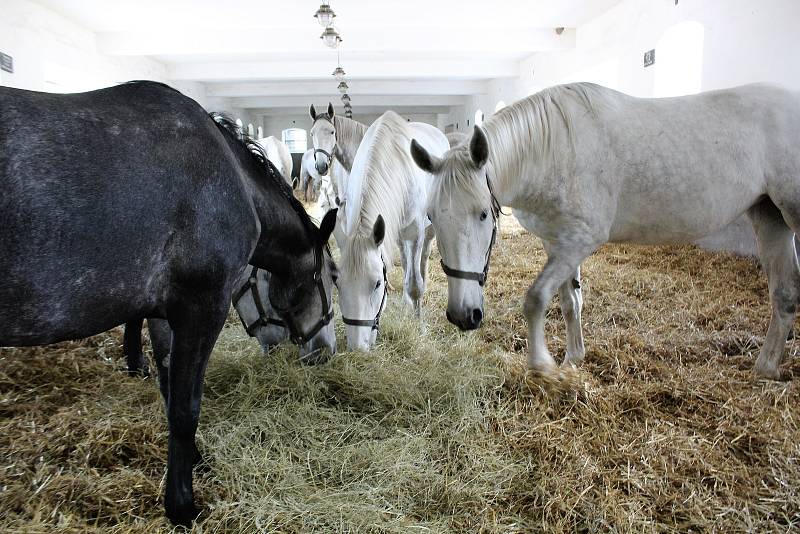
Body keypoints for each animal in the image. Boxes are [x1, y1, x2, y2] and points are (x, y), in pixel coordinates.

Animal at [0, 80, 338, 528]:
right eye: (332, 276)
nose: (326, 349)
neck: (235, 184)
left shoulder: (164, 315)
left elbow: (166, 386)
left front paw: (193, 460)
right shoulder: (202, 310)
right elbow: (184, 407)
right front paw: (182, 506)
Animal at [338, 111, 450, 352]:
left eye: (377, 284)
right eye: (337, 283)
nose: (357, 349)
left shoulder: (415, 233)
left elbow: (415, 285)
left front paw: (420, 326)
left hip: (427, 231)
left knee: (422, 261)